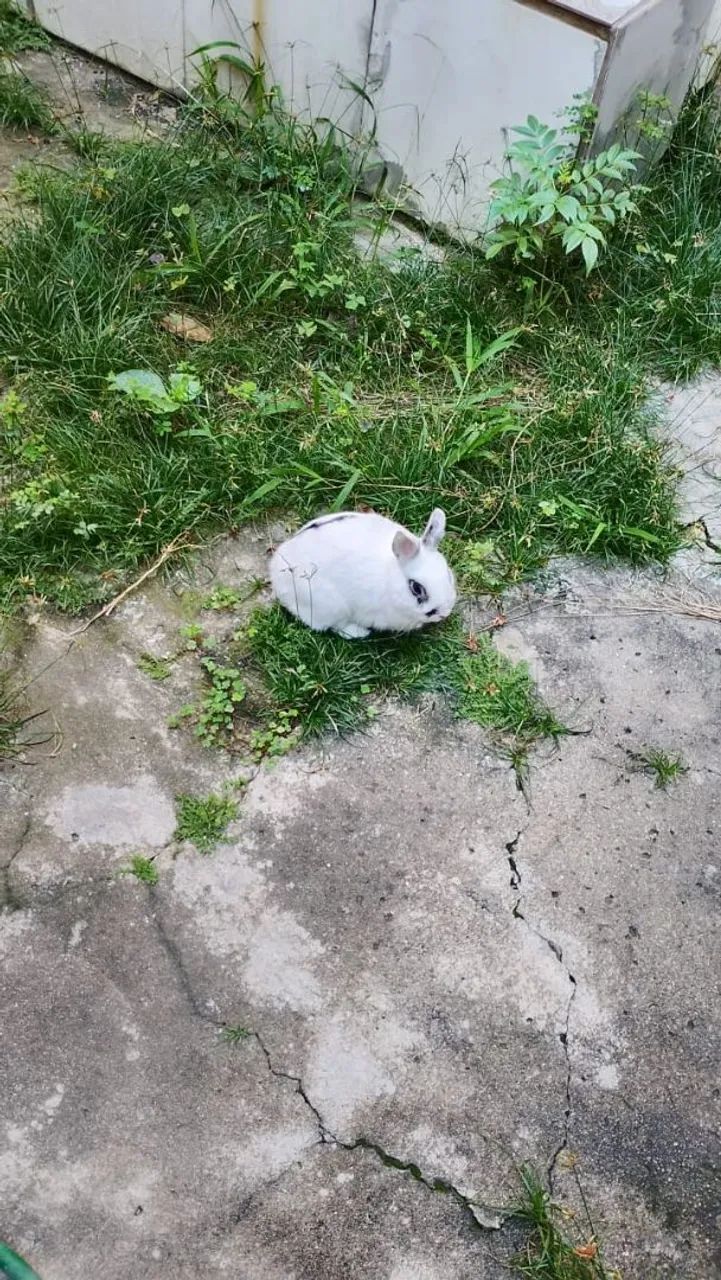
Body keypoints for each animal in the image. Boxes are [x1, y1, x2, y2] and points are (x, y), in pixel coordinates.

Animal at [270, 508, 457, 638]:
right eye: (416, 588)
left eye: (448, 574)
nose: (444, 613)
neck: (391, 579)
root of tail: (276, 572)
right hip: (330, 606)